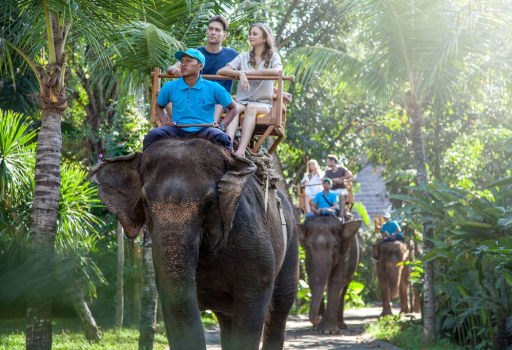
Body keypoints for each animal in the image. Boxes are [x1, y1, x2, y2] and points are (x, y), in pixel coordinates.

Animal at [90, 139, 300, 350]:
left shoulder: (252, 237)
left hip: (291, 242)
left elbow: (252, 300)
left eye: (209, 204)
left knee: (280, 305)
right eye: (146, 204)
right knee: (227, 318)